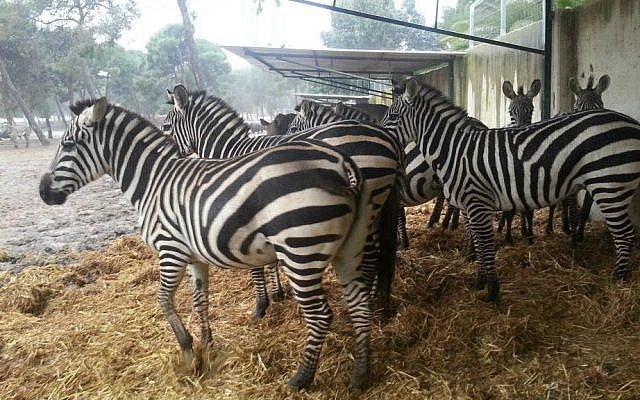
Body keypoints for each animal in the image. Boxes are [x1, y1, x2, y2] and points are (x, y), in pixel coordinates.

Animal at [39, 97, 374, 391]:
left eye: (67, 145)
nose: (43, 192)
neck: (153, 182)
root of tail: (339, 162)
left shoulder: (170, 250)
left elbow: (163, 299)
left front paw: (188, 351)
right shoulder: (194, 256)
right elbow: (200, 300)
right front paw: (207, 344)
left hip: (300, 251)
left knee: (320, 315)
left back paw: (301, 378)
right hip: (349, 248)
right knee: (359, 305)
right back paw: (361, 374)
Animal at [164, 85, 403, 317]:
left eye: (165, 126)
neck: (229, 151)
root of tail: (386, 137)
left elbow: (256, 267)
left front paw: (261, 304)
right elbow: (268, 260)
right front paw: (277, 292)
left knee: (370, 256)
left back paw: (369, 301)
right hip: (377, 207)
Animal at [497, 79, 540, 244]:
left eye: (531, 111)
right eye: (511, 112)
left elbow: (529, 212)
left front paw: (530, 235)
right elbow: (510, 213)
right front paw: (508, 237)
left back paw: (523, 230)